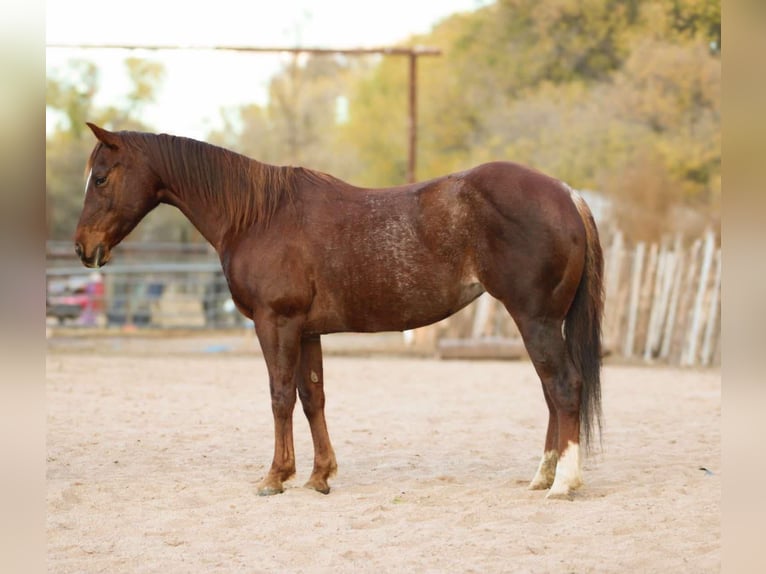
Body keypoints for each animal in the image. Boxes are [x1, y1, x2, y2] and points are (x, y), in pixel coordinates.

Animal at [74, 123, 603, 499]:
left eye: (100, 177)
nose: (83, 248)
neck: (258, 216)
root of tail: (567, 193)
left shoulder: (276, 323)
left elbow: (280, 397)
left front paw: (275, 477)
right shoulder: (307, 331)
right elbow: (313, 398)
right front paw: (319, 476)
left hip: (535, 320)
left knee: (563, 386)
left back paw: (563, 483)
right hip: (539, 323)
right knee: (551, 391)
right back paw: (543, 476)